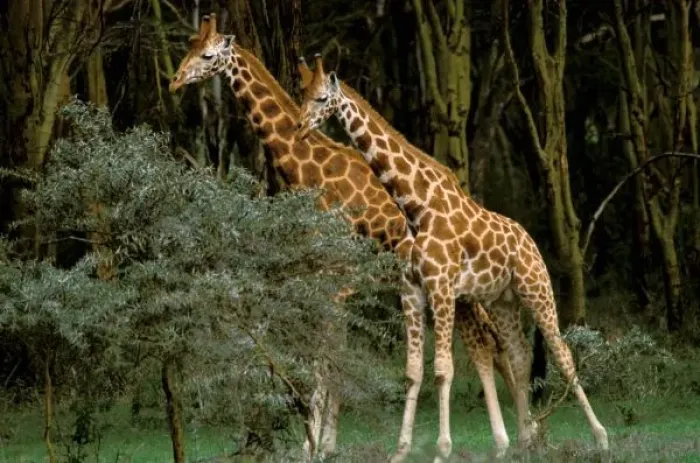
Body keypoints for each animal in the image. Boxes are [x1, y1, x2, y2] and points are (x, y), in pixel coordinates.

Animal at [169, 15, 519, 460]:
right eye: (189, 48)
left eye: (208, 55)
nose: (175, 81)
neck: (308, 169)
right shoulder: (329, 282)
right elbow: (328, 359)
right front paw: (325, 443)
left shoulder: (334, 281)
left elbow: (325, 361)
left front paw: (313, 444)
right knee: (487, 343)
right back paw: (514, 437)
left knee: (482, 342)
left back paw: (510, 437)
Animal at [296, 56, 609, 462]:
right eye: (301, 93)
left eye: (322, 98)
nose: (300, 127)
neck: (416, 207)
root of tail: (530, 241)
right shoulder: (412, 292)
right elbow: (413, 371)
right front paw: (400, 451)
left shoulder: (442, 289)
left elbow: (443, 369)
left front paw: (441, 450)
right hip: (503, 301)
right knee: (521, 354)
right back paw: (525, 439)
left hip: (536, 289)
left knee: (563, 353)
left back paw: (600, 437)